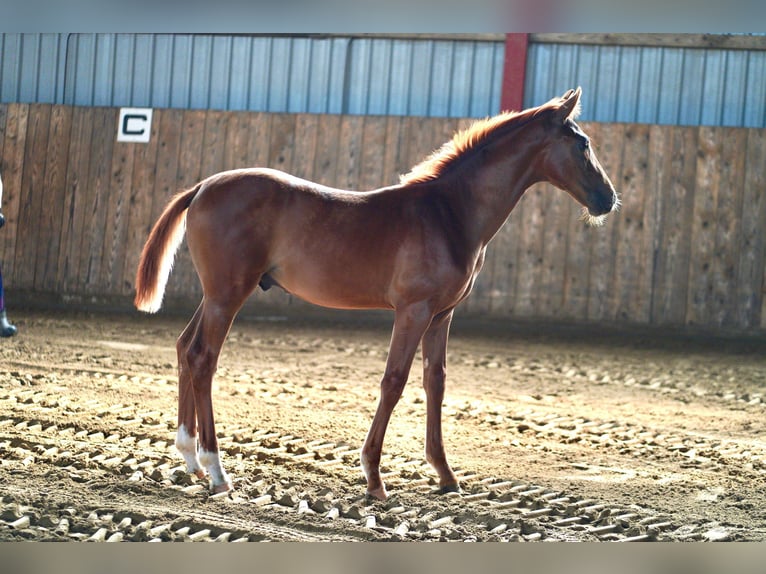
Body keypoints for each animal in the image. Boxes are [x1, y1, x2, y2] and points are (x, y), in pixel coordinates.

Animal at [135, 88, 620, 502]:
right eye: (582, 144)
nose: (608, 199)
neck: (448, 213)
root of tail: (202, 187)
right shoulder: (413, 310)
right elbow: (394, 381)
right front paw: (373, 477)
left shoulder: (442, 315)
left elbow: (435, 381)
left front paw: (445, 475)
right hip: (228, 295)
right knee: (203, 359)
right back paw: (217, 472)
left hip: (216, 294)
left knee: (185, 348)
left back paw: (190, 457)